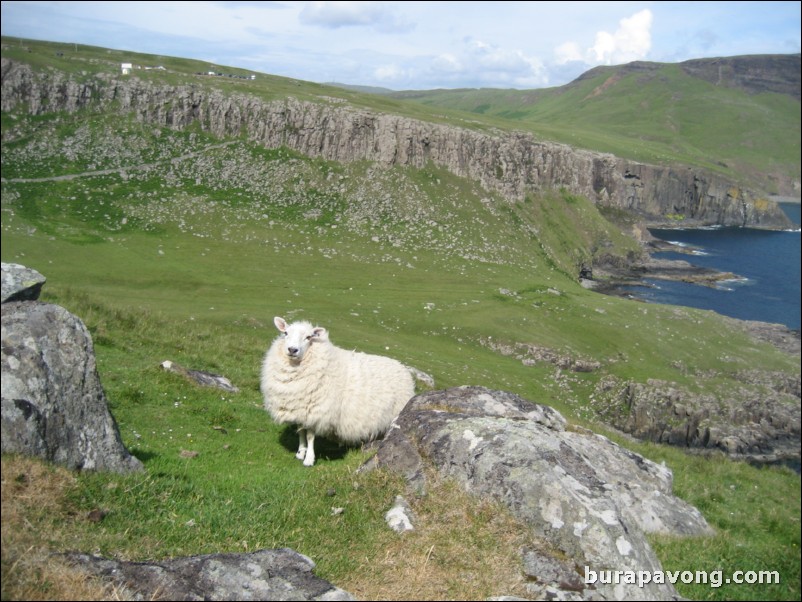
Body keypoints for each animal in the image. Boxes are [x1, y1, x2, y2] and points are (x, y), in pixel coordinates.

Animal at [260, 316, 412, 466]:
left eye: (309, 337)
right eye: (286, 333)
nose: (292, 350)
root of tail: (403, 368)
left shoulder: (317, 411)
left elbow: (309, 436)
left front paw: (309, 459)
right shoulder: (300, 409)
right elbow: (301, 432)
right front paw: (300, 452)